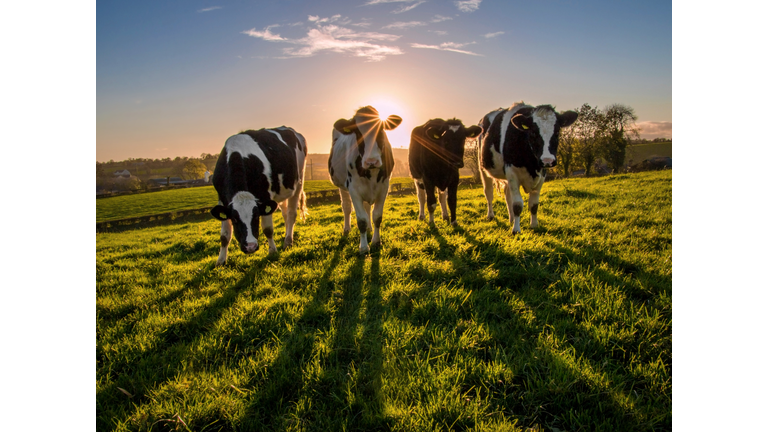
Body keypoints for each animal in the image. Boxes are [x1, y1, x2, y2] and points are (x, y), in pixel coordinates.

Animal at [210, 126, 308, 264]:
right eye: (234, 219)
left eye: (256, 216)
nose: (250, 247)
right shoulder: (223, 199)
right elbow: (224, 235)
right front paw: (221, 261)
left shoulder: (265, 196)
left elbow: (268, 229)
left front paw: (272, 251)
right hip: (282, 191)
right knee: (285, 213)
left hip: (299, 180)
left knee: (291, 213)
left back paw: (288, 241)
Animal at [328, 105, 404, 253]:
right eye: (358, 133)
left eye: (381, 130)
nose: (371, 161)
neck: (371, 172)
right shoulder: (353, 189)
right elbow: (361, 220)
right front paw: (363, 247)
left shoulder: (384, 187)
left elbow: (377, 216)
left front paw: (376, 241)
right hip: (342, 186)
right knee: (346, 207)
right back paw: (347, 229)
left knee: (367, 207)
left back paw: (369, 228)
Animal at [476, 102, 580, 233]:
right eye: (533, 132)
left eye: (557, 132)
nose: (547, 160)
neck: (531, 165)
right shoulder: (512, 172)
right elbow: (517, 204)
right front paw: (516, 230)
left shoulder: (542, 175)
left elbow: (534, 204)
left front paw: (534, 225)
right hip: (483, 169)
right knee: (489, 193)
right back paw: (490, 215)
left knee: (507, 194)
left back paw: (511, 219)